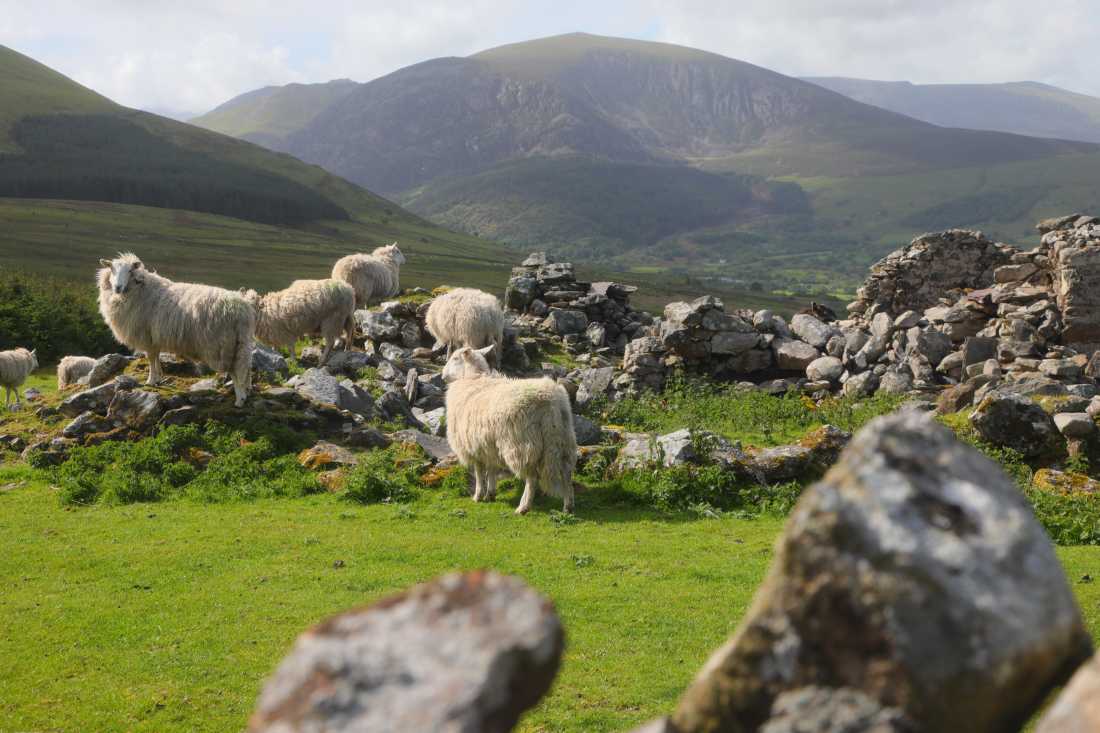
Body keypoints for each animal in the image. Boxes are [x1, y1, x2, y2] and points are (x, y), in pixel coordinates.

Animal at [97, 253, 255, 407]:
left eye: (130, 270)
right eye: (112, 269)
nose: (117, 287)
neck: (140, 290)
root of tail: (243, 309)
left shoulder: (147, 336)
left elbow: (151, 358)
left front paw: (151, 380)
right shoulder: (155, 337)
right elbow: (156, 357)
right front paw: (159, 377)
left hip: (224, 345)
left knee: (236, 370)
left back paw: (240, 399)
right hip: (241, 342)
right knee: (246, 367)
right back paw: (247, 392)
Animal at [443, 345, 576, 514]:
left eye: (455, 358)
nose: (443, 375)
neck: (472, 378)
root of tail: (550, 401)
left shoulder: (473, 446)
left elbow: (479, 472)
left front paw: (478, 496)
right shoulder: (487, 444)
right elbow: (491, 469)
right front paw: (490, 494)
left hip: (522, 444)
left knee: (532, 477)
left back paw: (523, 507)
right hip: (563, 438)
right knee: (566, 472)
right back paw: (568, 506)